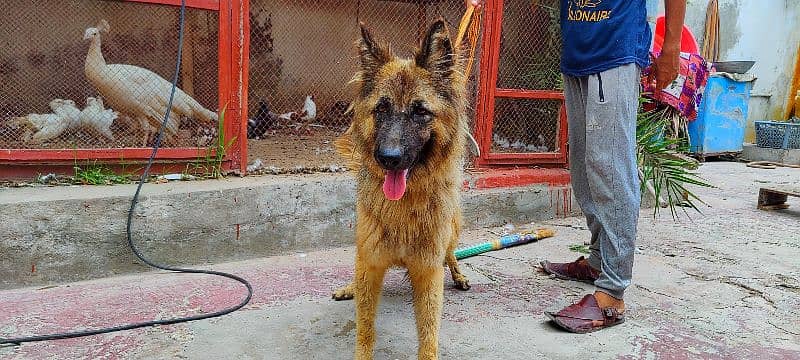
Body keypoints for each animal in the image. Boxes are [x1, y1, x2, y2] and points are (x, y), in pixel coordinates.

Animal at [334, 19, 472, 360]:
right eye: (381, 110)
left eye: (420, 111)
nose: (389, 158)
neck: (402, 209)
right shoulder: (370, 262)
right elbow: (365, 327)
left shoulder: (428, 271)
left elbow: (429, 332)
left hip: (452, 230)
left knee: (451, 254)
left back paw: (459, 274)